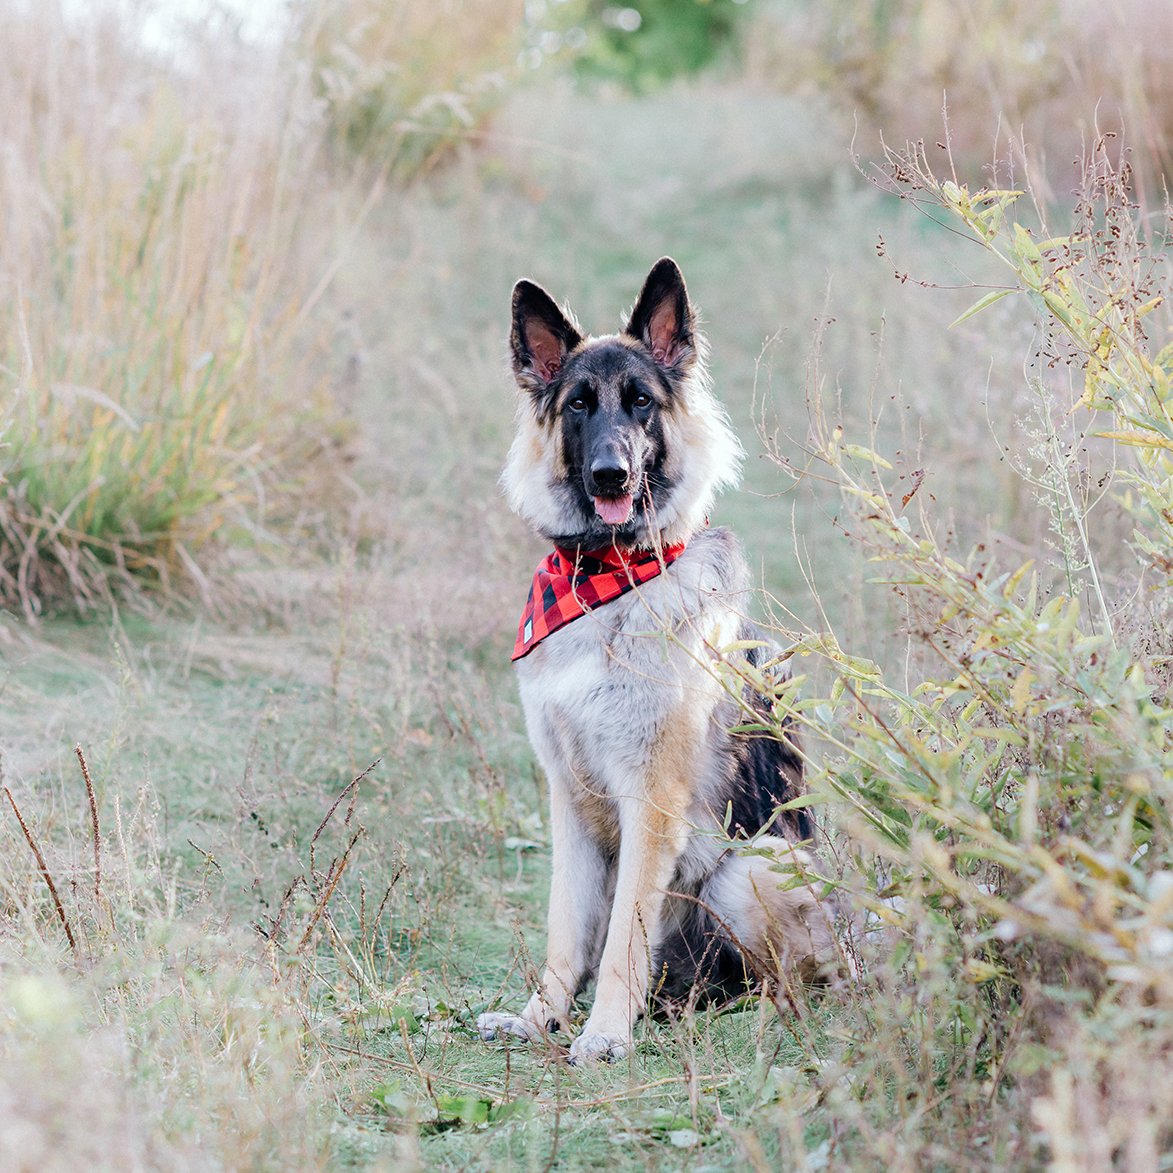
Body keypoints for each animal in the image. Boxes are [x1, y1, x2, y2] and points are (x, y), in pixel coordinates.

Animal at [473, 261, 835, 1069]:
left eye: (641, 402)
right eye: (579, 405)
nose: (610, 475)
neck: (607, 581)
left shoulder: (653, 801)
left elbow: (621, 939)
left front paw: (605, 1030)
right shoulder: (570, 799)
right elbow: (566, 926)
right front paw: (541, 1016)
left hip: (752, 865)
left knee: (791, 986)